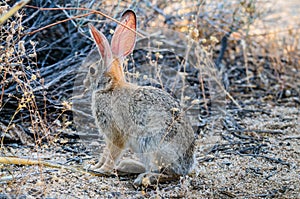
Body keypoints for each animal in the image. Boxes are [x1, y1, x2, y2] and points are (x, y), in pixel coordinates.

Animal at [84, 10, 196, 186]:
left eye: (92, 70)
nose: (85, 82)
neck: (111, 87)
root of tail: (186, 167)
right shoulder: (109, 137)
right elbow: (105, 152)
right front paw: (94, 166)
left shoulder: (116, 134)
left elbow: (112, 153)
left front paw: (101, 170)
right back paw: (127, 166)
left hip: (152, 146)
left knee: (169, 174)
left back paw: (143, 179)